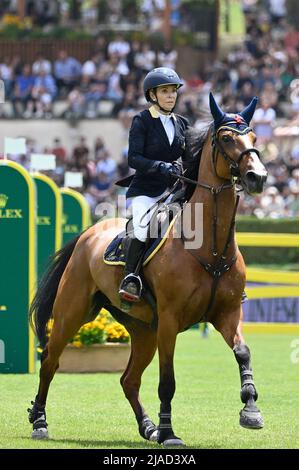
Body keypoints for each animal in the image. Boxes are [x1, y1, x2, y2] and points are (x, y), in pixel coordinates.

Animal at [28, 93, 268, 446]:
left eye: (254, 138)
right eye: (226, 138)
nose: (258, 177)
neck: (209, 247)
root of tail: (89, 233)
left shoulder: (227, 313)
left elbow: (243, 352)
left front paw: (251, 410)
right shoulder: (170, 320)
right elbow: (167, 380)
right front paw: (170, 433)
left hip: (143, 329)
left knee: (128, 379)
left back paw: (148, 427)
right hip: (74, 313)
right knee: (50, 360)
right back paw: (40, 421)